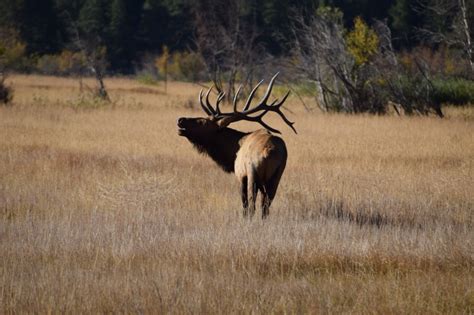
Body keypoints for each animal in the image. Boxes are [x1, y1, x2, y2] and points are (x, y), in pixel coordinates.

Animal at [178, 73, 296, 218]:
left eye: (202, 122)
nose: (181, 120)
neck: (234, 149)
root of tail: (269, 151)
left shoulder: (240, 174)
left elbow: (244, 203)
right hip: (277, 175)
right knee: (266, 205)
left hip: (252, 172)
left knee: (252, 204)